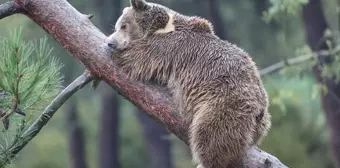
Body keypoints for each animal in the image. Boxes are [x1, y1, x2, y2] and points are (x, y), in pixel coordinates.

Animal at [106, 0, 270, 168]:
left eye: (124, 26)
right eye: (117, 26)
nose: (110, 43)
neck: (163, 26)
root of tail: (259, 109)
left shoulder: (166, 47)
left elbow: (135, 57)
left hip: (225, 103)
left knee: (210, 134)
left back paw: (204, 162)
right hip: (258, 121)